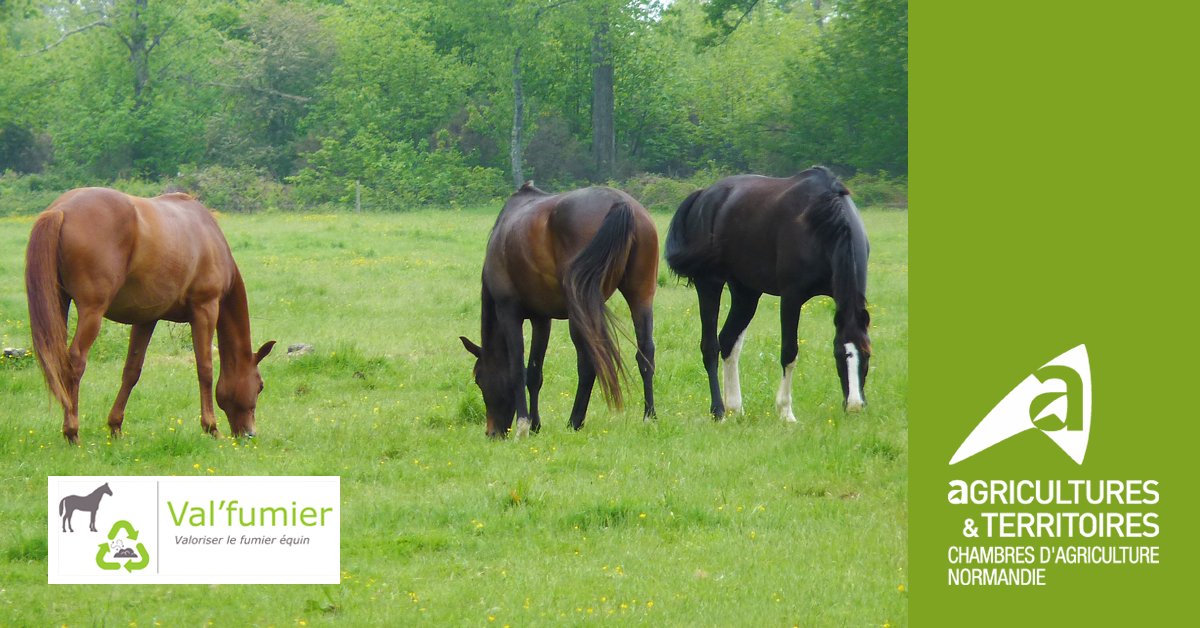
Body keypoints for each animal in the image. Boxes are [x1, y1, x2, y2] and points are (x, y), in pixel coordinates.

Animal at [25, 187, 276, 444]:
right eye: (260, 386)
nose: (249, 433)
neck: (207, 234)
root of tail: (61, 210)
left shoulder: (146, 319)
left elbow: (132, 371)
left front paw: (115, 426)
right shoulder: (205, 309)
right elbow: (205, 368)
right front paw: (211, 427)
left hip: (59, 304)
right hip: (91, 312)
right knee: (75, 361)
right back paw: (72, 431)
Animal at [460, 182, 659, 438]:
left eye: (480, 379)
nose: (492, 432)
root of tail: (620, 203)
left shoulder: (508, 312)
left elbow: (517, 369)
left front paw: (524, 426)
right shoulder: (541, 319)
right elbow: (534, 373)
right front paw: (535, 425)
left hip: (580, 311)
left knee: (588, 364)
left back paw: (575, 420)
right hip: (640, 296)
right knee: (645, 353)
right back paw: (649, 416)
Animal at [665, 166, 871, 421]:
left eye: (867, 355)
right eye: (838, 355)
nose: (854, 405)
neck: (822, 224)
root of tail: (704, 194)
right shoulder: (791, 298)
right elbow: (789, 352)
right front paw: (785, 412)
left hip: (746, 293)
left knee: (728, 341)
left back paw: (736, 407)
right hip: (709, 284)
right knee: (710, 346)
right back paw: (719, 410)